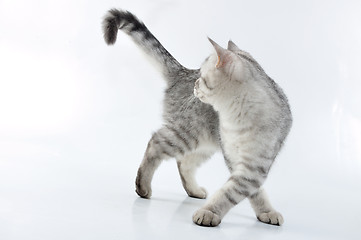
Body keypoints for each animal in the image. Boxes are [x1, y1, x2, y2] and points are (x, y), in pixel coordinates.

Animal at [100, 9, 290, 227]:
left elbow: (241, 190)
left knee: (184, 162)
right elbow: (233, 192)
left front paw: (265, 211)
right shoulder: (233, 157)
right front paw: (209, 213)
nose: (195, 84)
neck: (236, 118)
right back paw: (143, 186)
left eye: (203, 77)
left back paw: (193, 190)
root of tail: (183, 73)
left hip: (206, 143)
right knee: (156, 142)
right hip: (187, 133)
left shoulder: (254, 165)